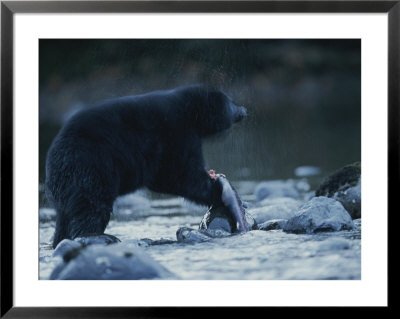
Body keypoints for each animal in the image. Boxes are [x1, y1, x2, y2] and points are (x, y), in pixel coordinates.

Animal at [46, 85, 247, 250]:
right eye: (230, 102)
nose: (244, 110)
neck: (189, 112)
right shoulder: (174, 133)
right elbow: (178, 174)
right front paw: (215, 189)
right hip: (91, 167)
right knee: (92, 207)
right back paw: (96, 236)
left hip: (67, 188)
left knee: (66, 218)